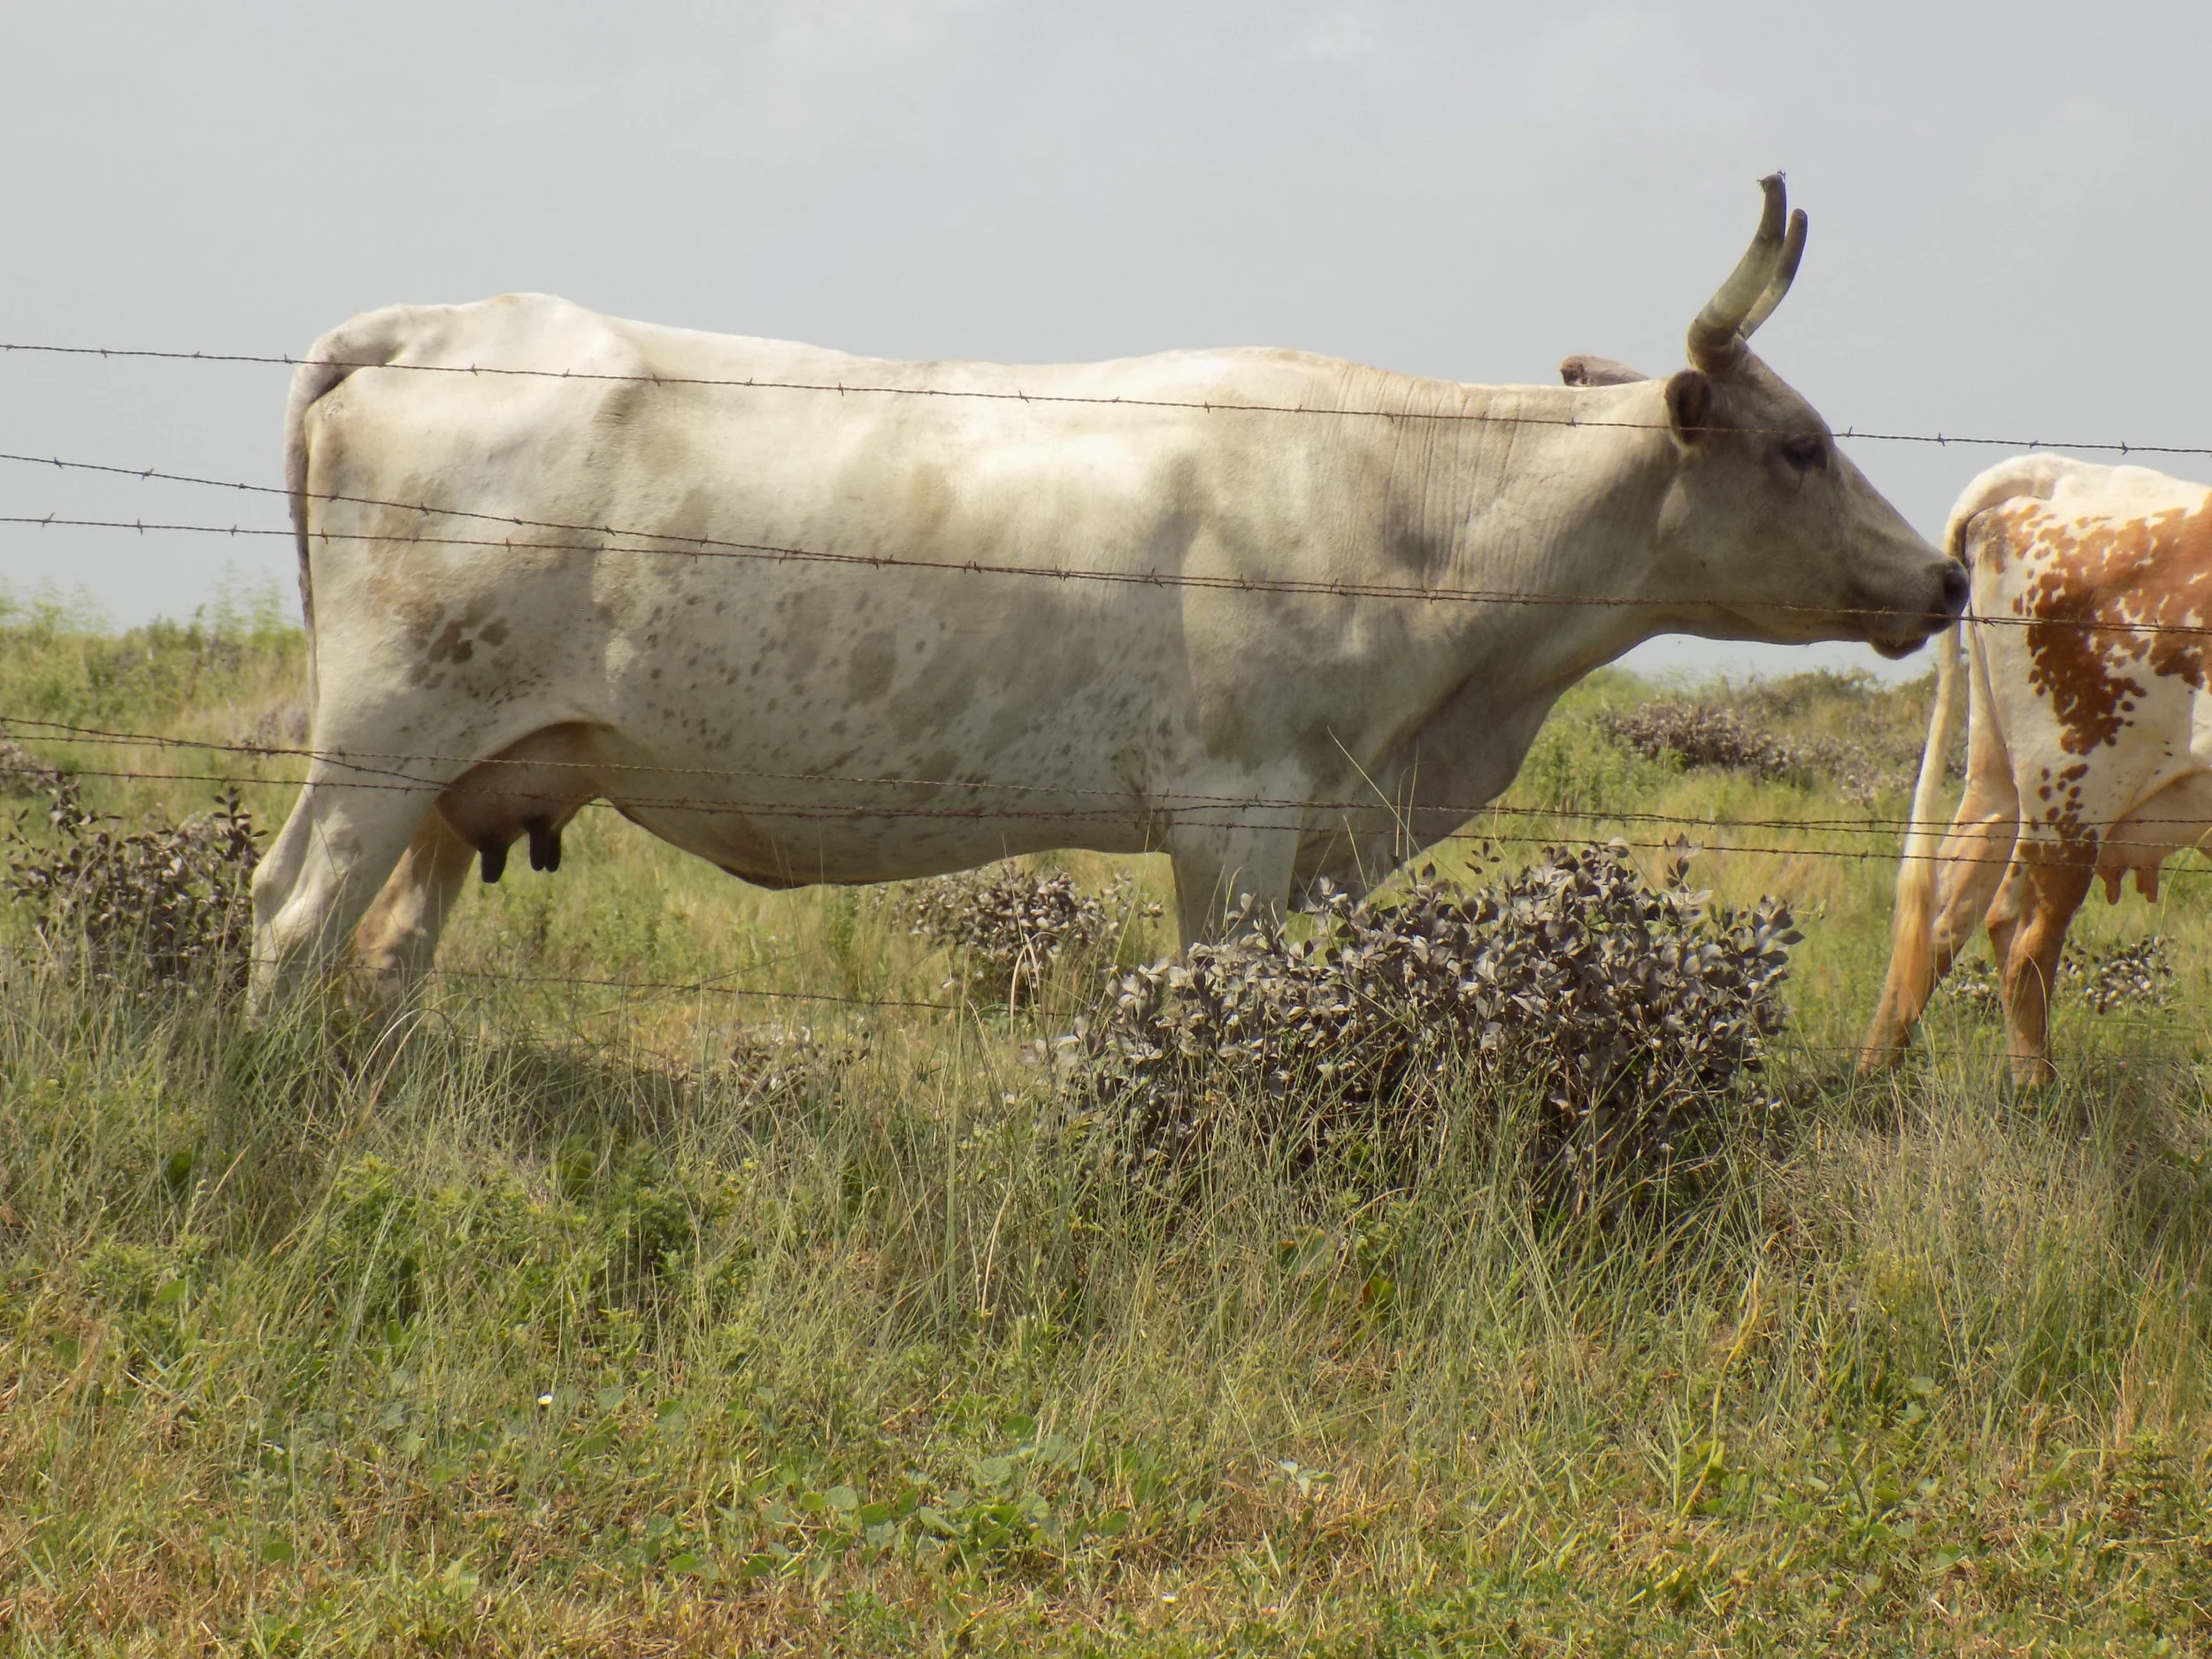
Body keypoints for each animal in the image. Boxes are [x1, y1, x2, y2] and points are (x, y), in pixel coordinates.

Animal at [250, 175, 1965, 1011]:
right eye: (1801, 445)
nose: (1946, 574)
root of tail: (444, 320)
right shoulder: (1237, 814)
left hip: (476, 769)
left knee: (388, 950)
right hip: (384, 740)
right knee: (291, 917)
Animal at [1861, 455, 2212, 1084]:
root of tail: (2057, 474)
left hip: (2000, 783)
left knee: (1945, 911)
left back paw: (1873, 1071)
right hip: (2071, 797)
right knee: (2024, 938)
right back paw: (2035, 1090)